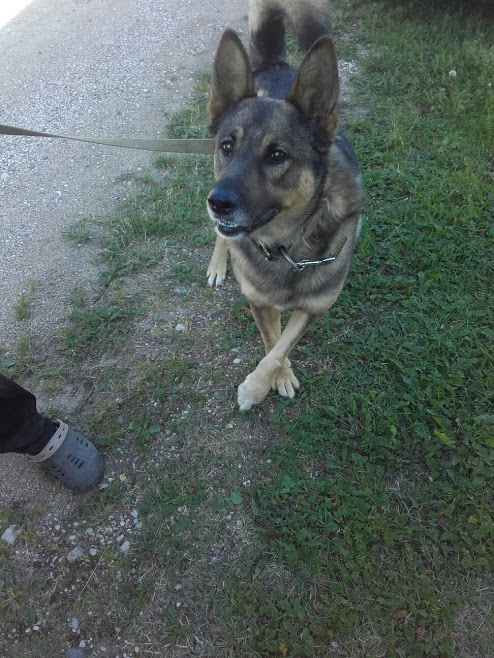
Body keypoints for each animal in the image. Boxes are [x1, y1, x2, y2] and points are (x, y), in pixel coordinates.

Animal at [206, 0, 364, 411]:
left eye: (277, 155)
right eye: (227, 146)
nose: (217, 203)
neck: (287, 246)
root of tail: (276, 65)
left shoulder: (316, 307)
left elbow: (281, 346)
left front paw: (261, 383)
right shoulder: (258, 301)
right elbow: (272, 340)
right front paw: (271, 380)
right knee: (221, 237)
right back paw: (218, 263)